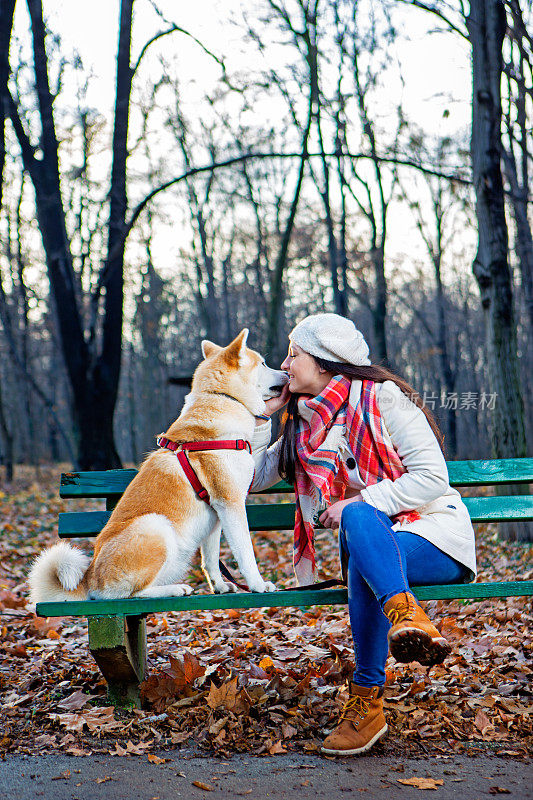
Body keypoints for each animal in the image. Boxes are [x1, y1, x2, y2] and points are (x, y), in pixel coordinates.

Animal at [29, 328, 286, 604]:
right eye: (263, 363)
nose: (287, 372)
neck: (223, 401)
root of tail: (89, 580)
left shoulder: (217, 514)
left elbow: (210, 560)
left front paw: (219, 586)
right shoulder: (232, 504)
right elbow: (246, 554)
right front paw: (258, 585)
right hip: (155, 526)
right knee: (128, 594)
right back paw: (174, 589)